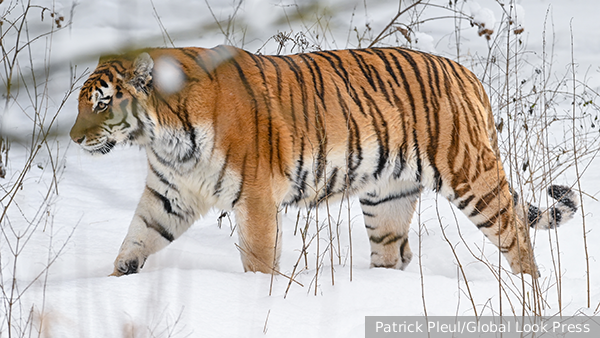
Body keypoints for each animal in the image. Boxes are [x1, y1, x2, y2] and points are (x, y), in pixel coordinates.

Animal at [69, 45, 576, 278]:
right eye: (80, 103)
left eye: (101, 104)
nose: (73, 139)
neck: (165, 137)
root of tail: (467, 73)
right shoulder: (167, 196)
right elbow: (134, 242)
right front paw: (113, 284)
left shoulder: (255, 199)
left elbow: (258, 258)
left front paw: (257, 299)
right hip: (386, 197)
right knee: (391, 251)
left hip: (471, 174)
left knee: (515, 230)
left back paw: (528, 294)